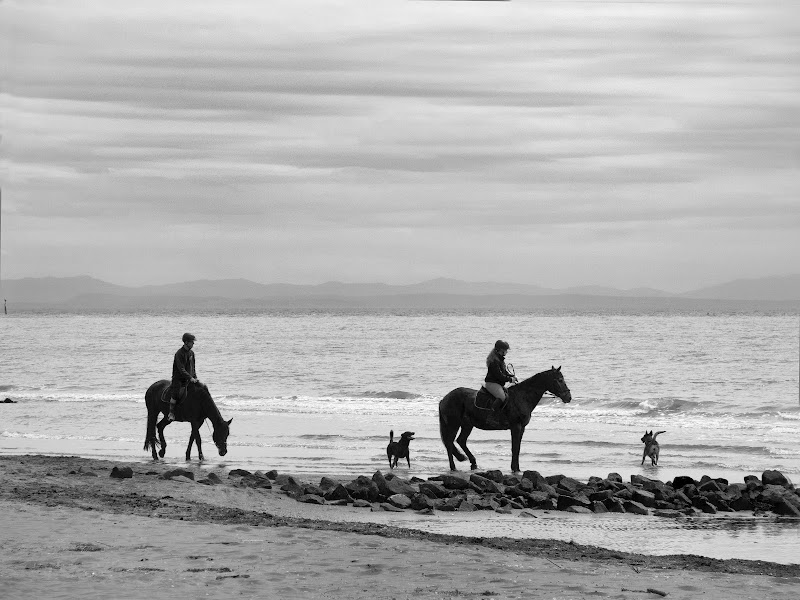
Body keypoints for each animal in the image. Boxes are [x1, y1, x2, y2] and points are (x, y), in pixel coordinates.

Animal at [440, 366, 572, 474]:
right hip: (453, 424)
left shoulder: (521, 428)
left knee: (460, 441)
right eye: (560, 380)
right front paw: (515, 469)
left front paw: (517, 468)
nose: (568, 397)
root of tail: (444, 399)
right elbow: (515, 448)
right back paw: (454, 466)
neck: (522, 397)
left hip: (467, 425)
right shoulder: (516, 426)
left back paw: (472, 462)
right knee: (449, 443)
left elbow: (517, 448)